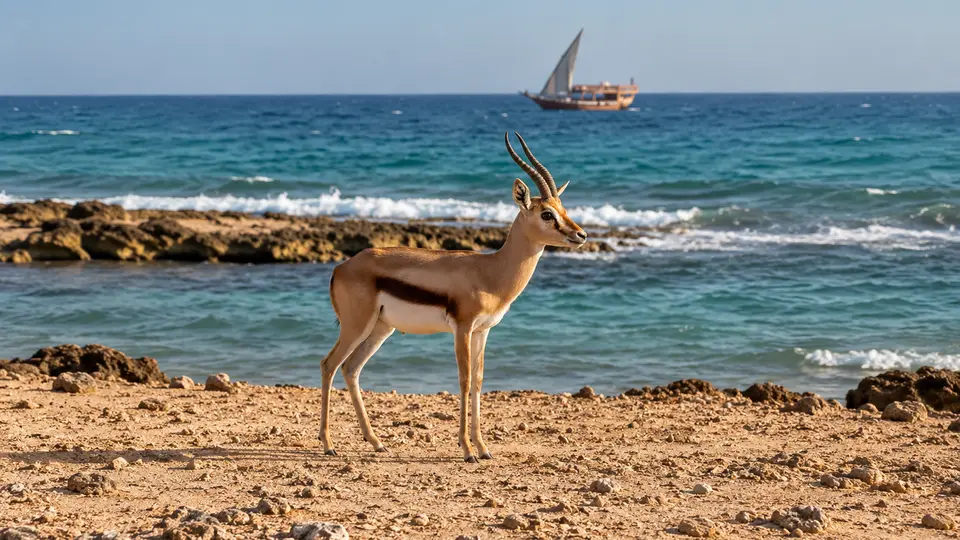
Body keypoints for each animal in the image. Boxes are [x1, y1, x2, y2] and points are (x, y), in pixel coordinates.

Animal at [318, 132, 587, 462]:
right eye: (546, 214)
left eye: (563, 208)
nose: (580, 235)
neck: (491, 271)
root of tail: (341, 267)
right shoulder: (463, 328)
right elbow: (464, 379)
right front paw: (468, 450)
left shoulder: (483, 331)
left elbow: (479, 381)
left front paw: (483, 448)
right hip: (356, 326)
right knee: (329, 365)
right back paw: (328, 444)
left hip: (381, 328)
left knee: (351, 369)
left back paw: (377, 442)